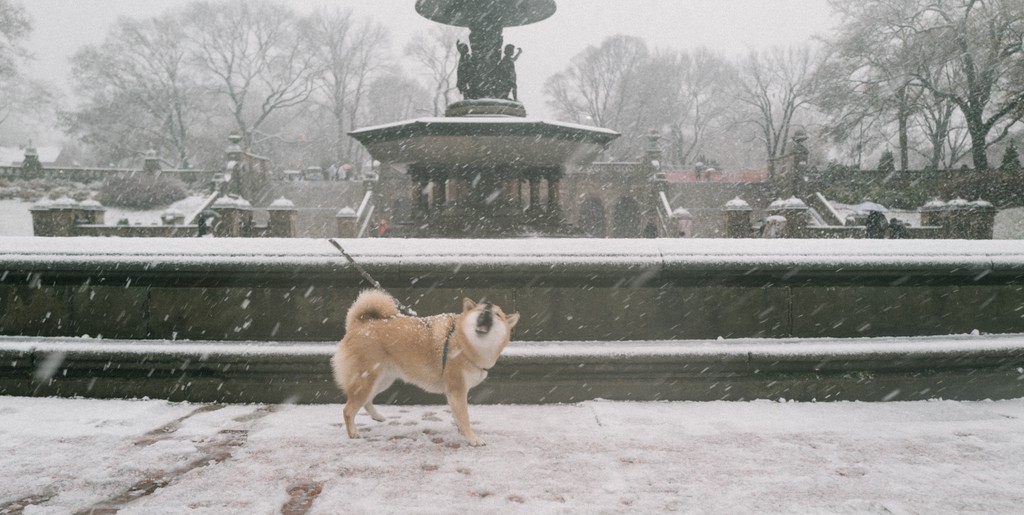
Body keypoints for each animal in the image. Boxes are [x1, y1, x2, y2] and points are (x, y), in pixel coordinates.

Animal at [329, 290, 516, 448]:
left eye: (497, 314)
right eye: (481, 309)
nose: (488, 306)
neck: (463, 343)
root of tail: (358, 324)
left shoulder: (454, 392)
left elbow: (457, 416)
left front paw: (461, 432)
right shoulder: (457, 389)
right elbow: (464, 417)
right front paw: (472, 438)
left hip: (382, 380)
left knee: (365, 401)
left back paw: (377, 416)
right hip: (368, 378)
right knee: (348, 410)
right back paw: (353, 433)